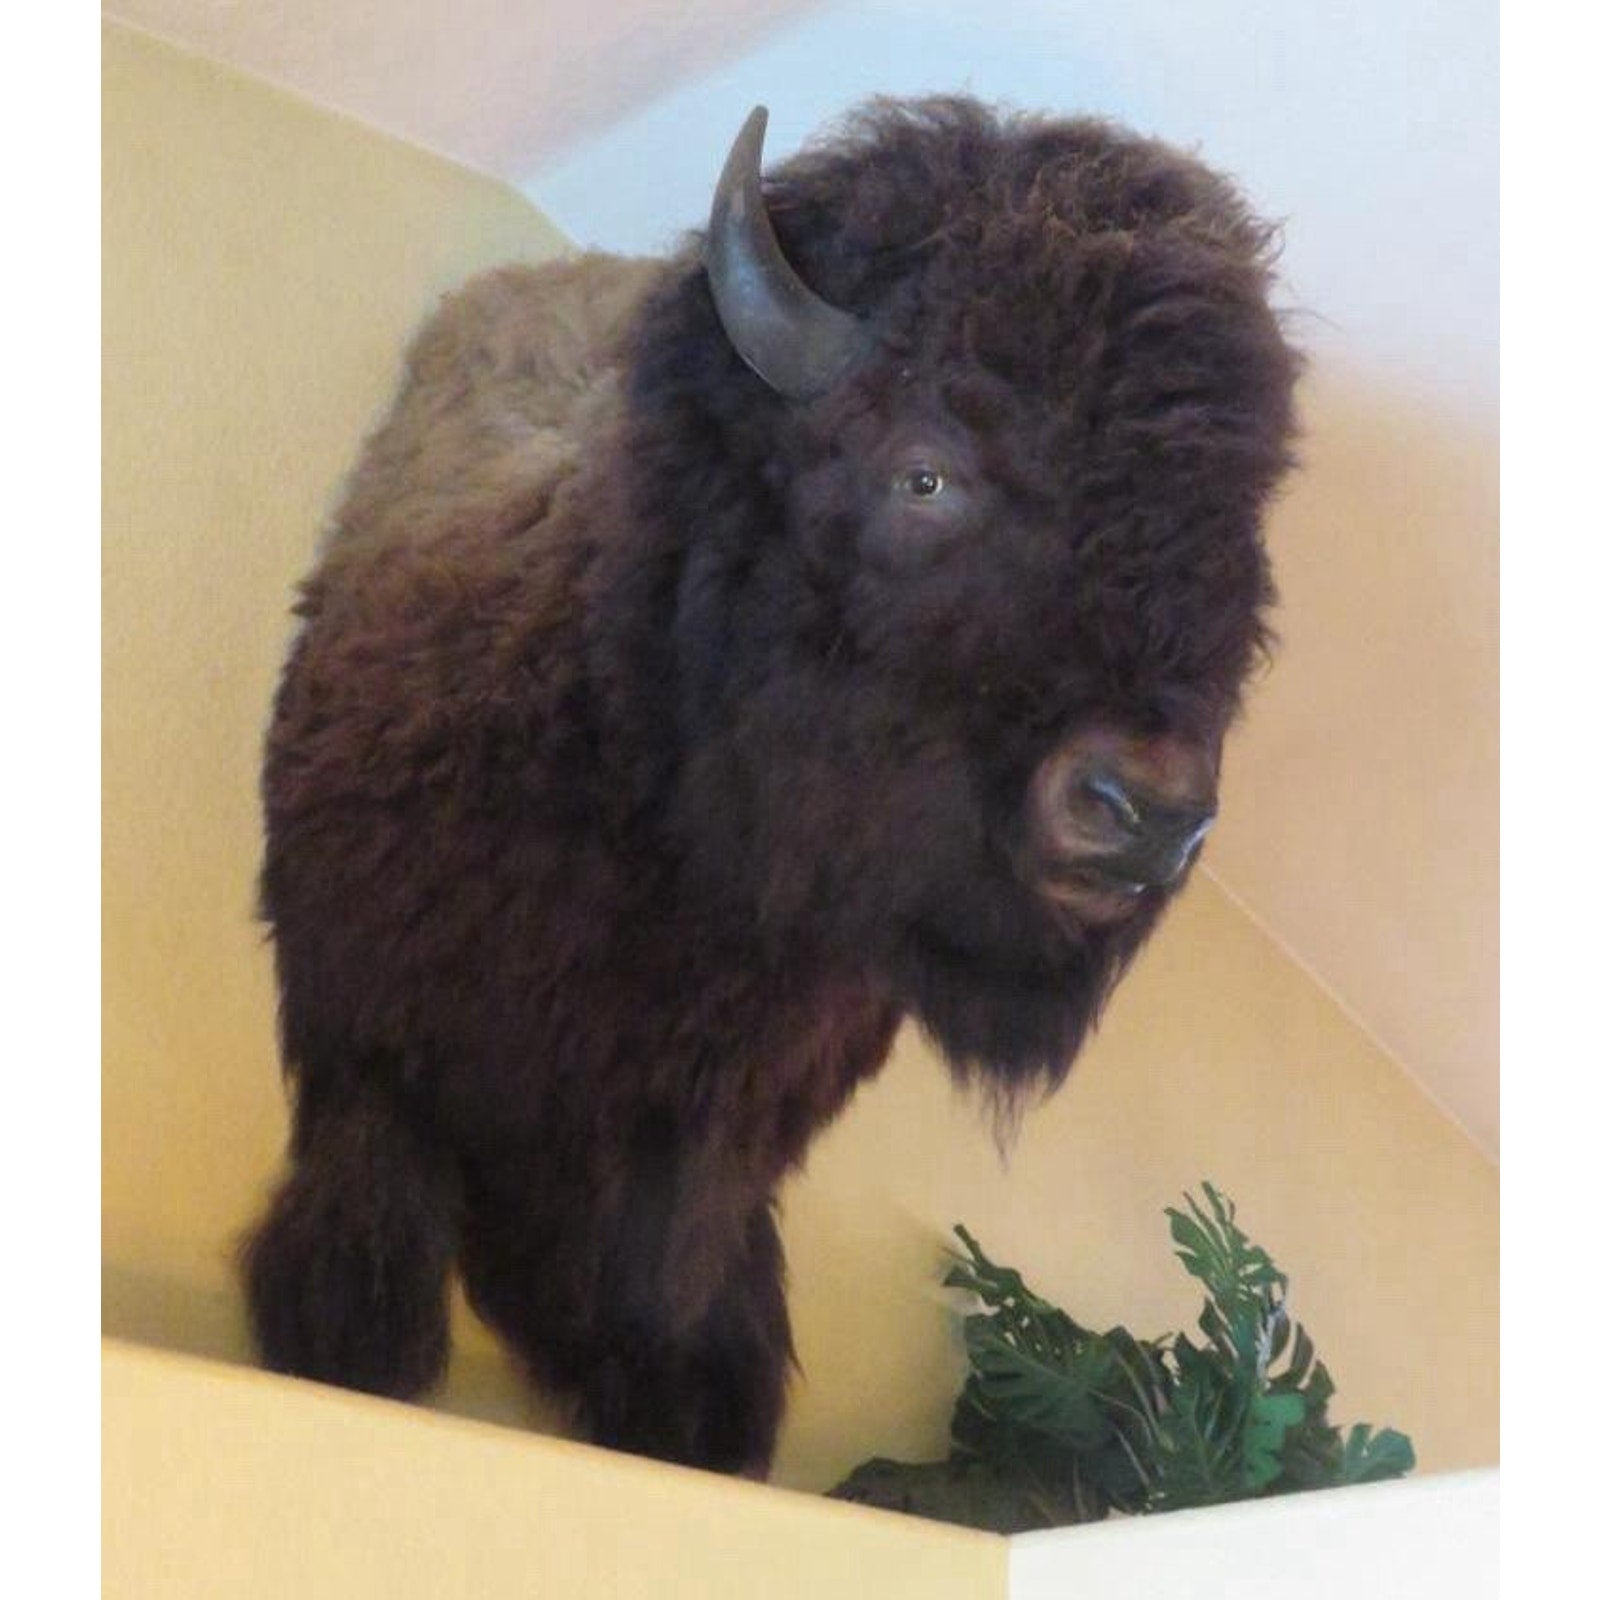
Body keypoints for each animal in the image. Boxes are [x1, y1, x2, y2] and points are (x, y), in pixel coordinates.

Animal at [243, 96, 1299, 1477]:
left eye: (1236, 553)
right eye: (924, 471)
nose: (1148, 812)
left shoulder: (716, 1122)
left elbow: (678, 1273)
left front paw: (682, 1414)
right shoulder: (371, 1020)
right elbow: (370, 1226)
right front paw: (344, 1347)